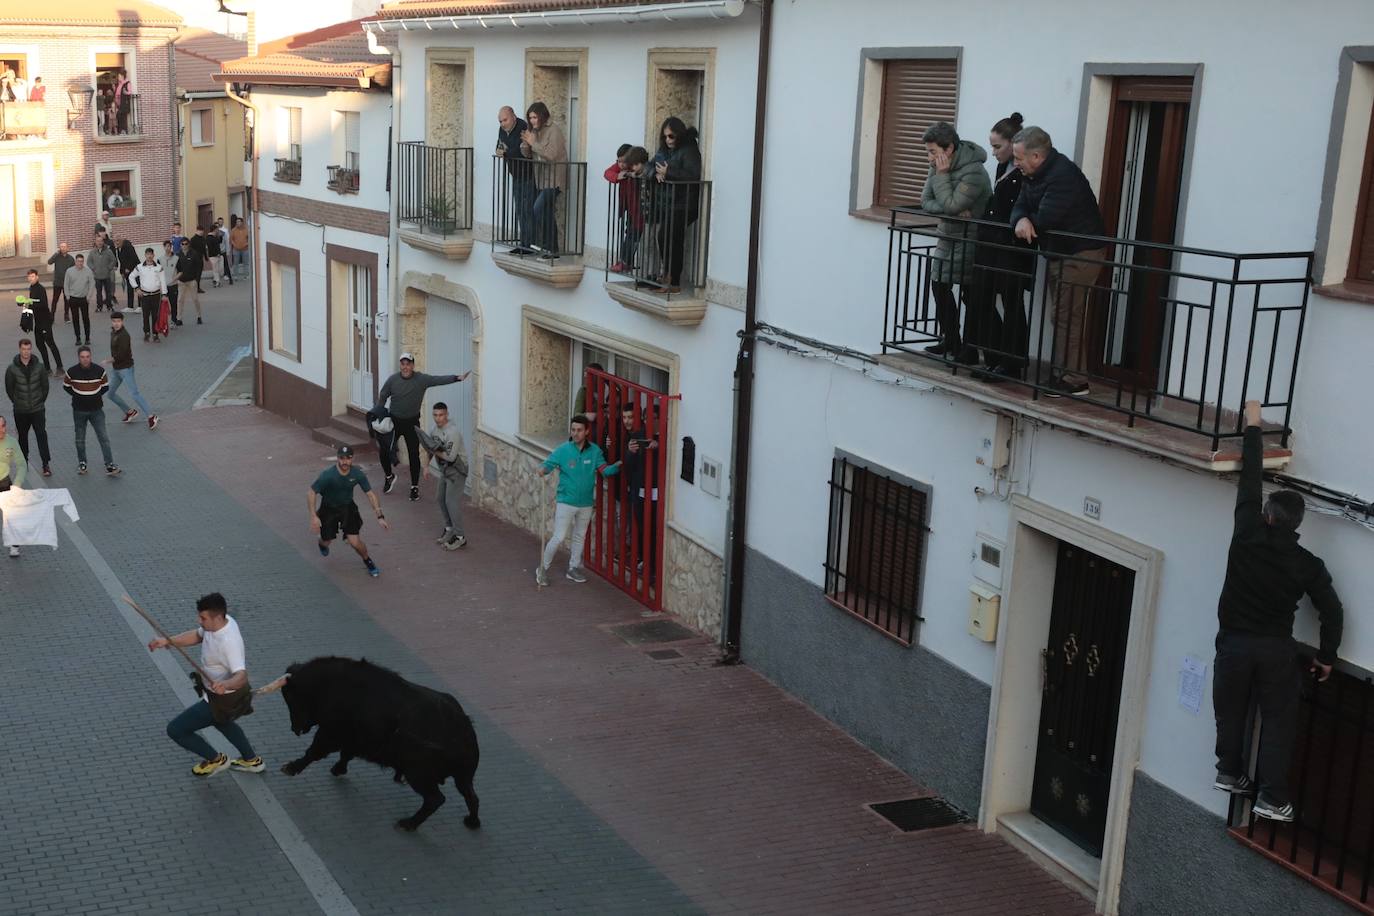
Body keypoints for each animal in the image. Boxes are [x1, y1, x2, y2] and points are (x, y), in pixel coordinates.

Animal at [276, 656, 480, 834]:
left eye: (292, 699)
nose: (295, 729)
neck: (331, 685)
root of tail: (463, 728)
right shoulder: (351, 738)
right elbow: (345, 754)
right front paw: (338, 769)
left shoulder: (330, 733)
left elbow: (314, 752)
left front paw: (291, 767)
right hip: (462, 777)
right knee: (471, 796)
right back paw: (472, 821)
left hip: (418, 774)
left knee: (435, 799)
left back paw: (408, 823)